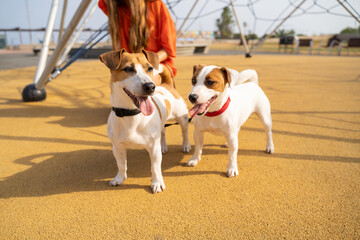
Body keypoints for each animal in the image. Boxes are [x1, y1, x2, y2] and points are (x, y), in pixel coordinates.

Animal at [98, 48, 191, 193]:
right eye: (128, 68)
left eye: (150, 68)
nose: (150, 86)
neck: (131, 115)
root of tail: (166, 85)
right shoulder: (117, 147)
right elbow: (121, 165)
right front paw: (119, 178)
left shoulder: (153, 148)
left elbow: (155, 168)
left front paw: (157, 183)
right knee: (162, 133)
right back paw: (163, 146)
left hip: (183, 118)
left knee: (184, 132)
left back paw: (186, 145)